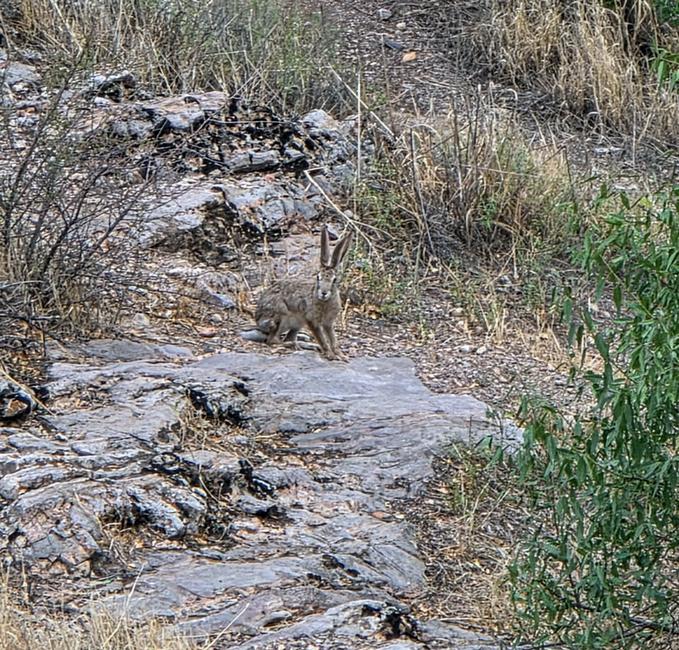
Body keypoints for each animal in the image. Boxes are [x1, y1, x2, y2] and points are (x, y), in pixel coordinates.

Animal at [254, 225, 353, 360]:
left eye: (335, 280)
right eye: (318, 277)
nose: (323, 293)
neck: (324, 301)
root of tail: (257, 319)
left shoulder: (328, 323)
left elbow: (333, 338)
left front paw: (340, 355)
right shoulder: (311, 320)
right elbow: (322, 338)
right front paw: (330, 354)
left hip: (298, 324)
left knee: (287, 337)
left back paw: (306, 345)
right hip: (280, 317)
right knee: (272, 340)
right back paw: (293, 344)